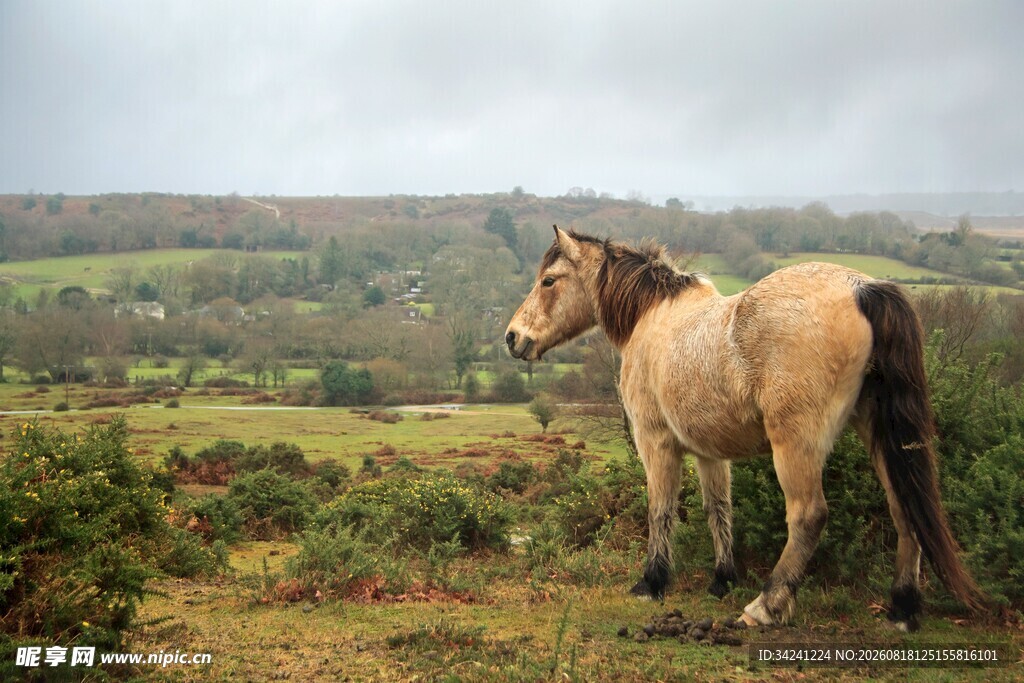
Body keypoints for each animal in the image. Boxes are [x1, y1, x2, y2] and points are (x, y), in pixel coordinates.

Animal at [505, 227, 983, 630]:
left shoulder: (656, 441)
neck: (652, 317)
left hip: (796, 444)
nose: (512, 338)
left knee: (809, 515)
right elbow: (718, 509)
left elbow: (660, 509)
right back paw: (902, 608)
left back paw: (765, 606)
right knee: (904, 510)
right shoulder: (708, 452)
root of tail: (861, 288)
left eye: (549, 280)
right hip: (878, 433)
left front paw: (652, 582)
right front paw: (722, 579)